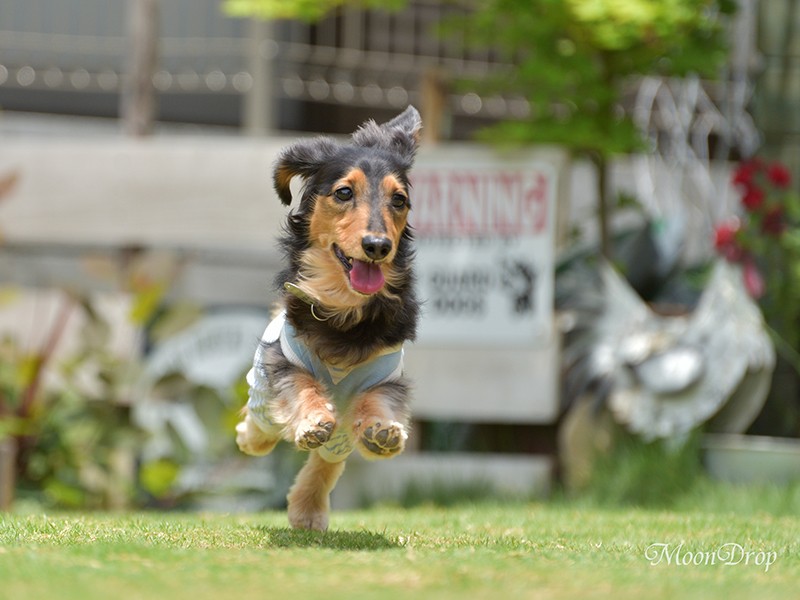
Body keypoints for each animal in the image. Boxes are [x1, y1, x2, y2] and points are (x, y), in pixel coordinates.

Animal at [236, 106, 422, 528]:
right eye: (343, 192)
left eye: (399, 199)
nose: (378, 246)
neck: (346, 310)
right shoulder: (284, 362)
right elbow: (302, 386)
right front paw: (312, 420)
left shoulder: (387, 375)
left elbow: (377, 401)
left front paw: (382, 430)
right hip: (263, 395)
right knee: (261, 425)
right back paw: (249, 437)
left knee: (328, 460)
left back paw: (308, 508)